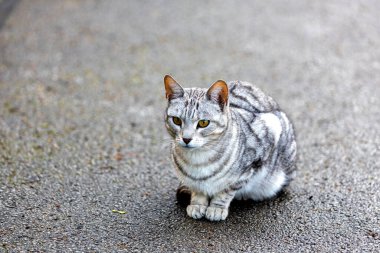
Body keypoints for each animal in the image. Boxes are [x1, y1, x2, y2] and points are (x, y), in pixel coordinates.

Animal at [163, 75, 296, 221]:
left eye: (203, 123)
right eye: (176, 120)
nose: (186, 139)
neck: (197, 159)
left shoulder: (265, 138)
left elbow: (227, 190)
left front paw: (217, 207)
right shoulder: (191, 180)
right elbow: (197, 189)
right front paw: (197, 204)